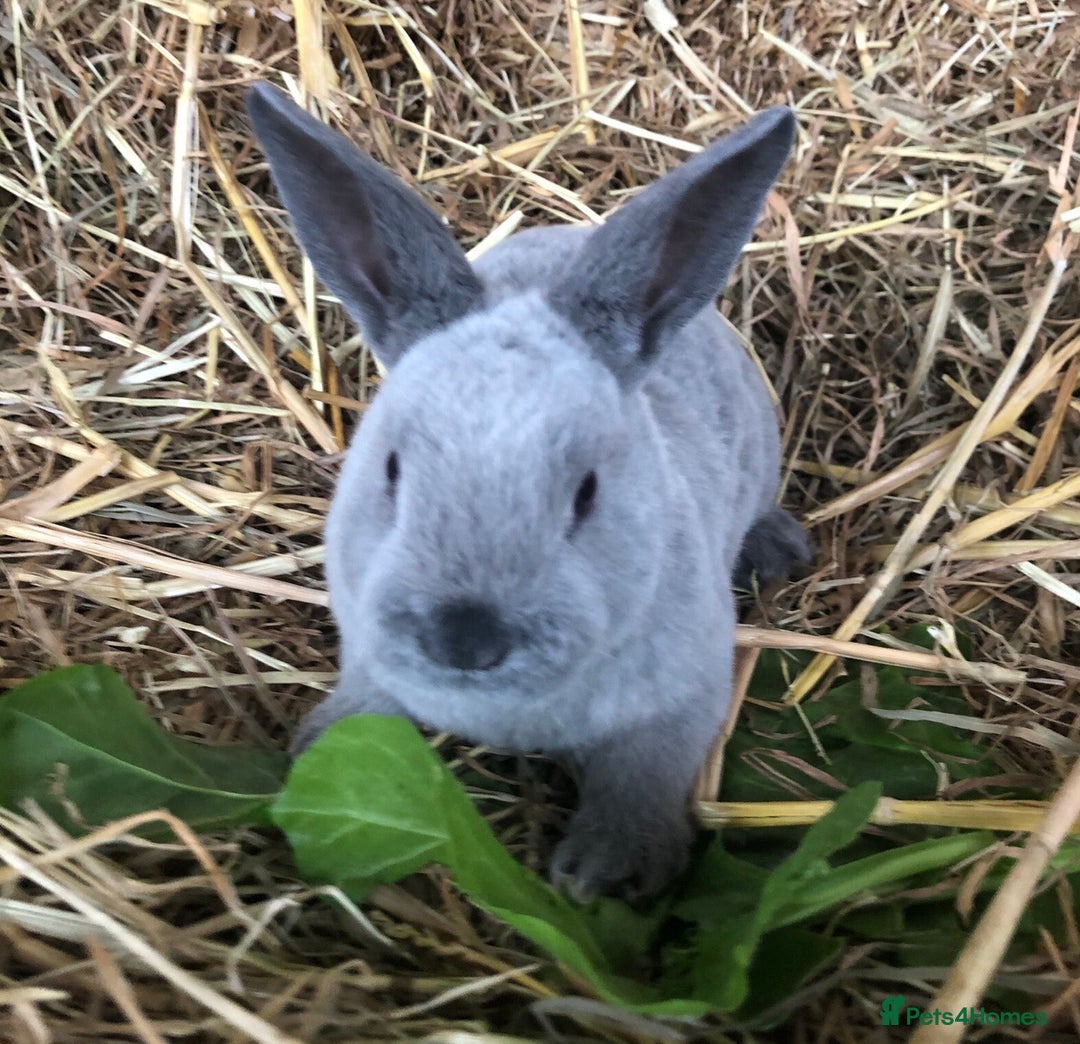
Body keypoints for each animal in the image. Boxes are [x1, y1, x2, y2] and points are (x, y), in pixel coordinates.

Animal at [246, 81, 809, 902]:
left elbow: (641, 779)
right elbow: (364, 711)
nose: (464, 640)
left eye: (587, 493)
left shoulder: (679, 705)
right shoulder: (369, 664)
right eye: (392, 469)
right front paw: (314, 764)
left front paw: (609, 873)